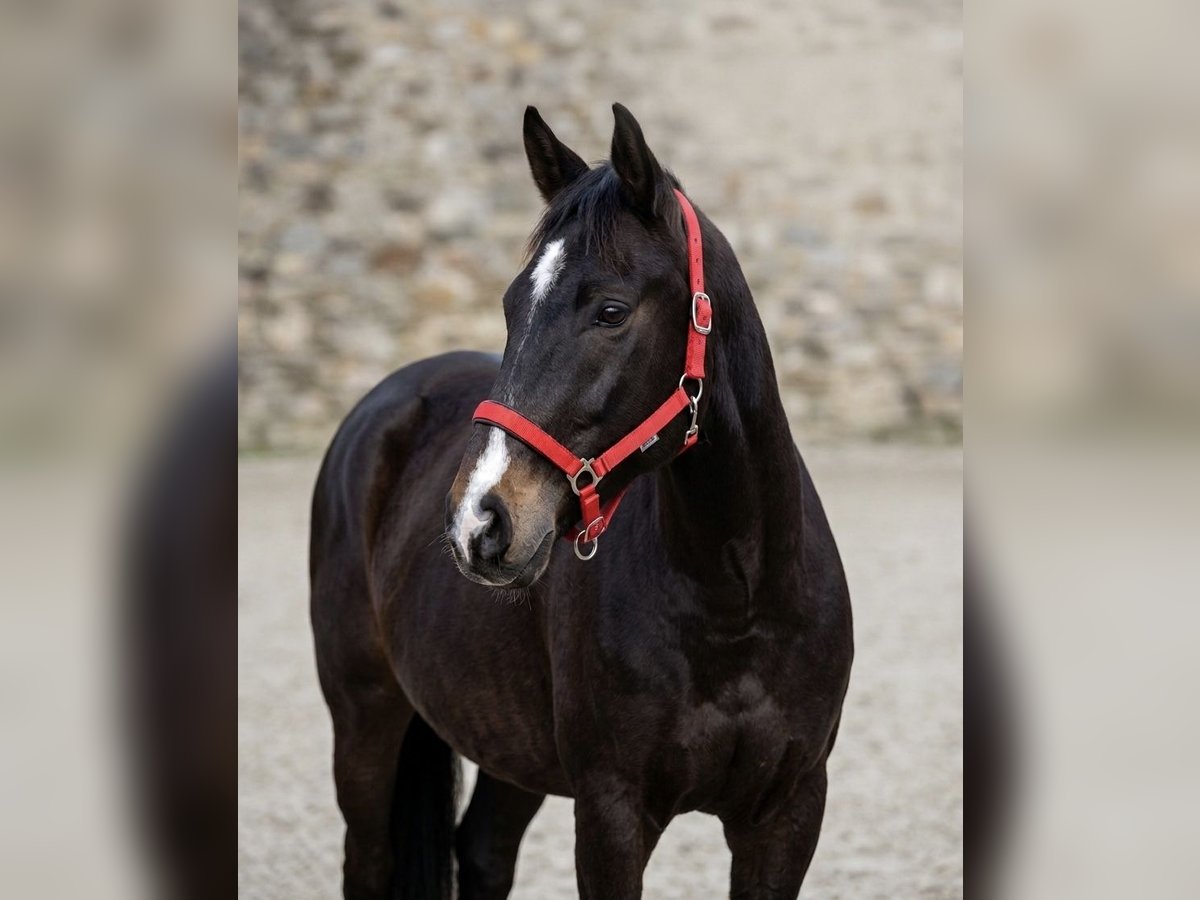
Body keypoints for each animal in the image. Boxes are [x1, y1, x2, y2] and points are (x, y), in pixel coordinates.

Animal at [310, 103, 854, 899]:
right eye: (511, 306)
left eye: (610, 310)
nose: (479, 521)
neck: (738, 601)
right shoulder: (610, 813)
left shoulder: (787, 814)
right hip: (364, 718)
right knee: (370, 861)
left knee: (482, 850)